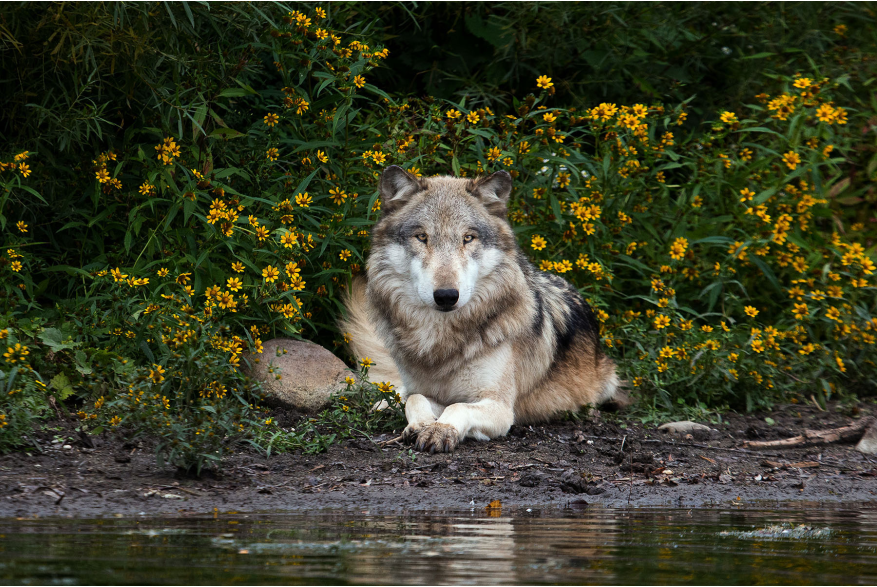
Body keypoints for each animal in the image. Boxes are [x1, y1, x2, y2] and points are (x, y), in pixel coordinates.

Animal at [341, 165, 625, 453]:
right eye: (422, 237)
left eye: (468, 238)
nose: (446, 296)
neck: (441, 341)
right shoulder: (427, 392)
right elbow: (416, 398)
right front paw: (421, 424)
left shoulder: (499, 408)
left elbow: (458, 407)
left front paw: (441, 429)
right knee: (399, 391)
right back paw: (384, 403)